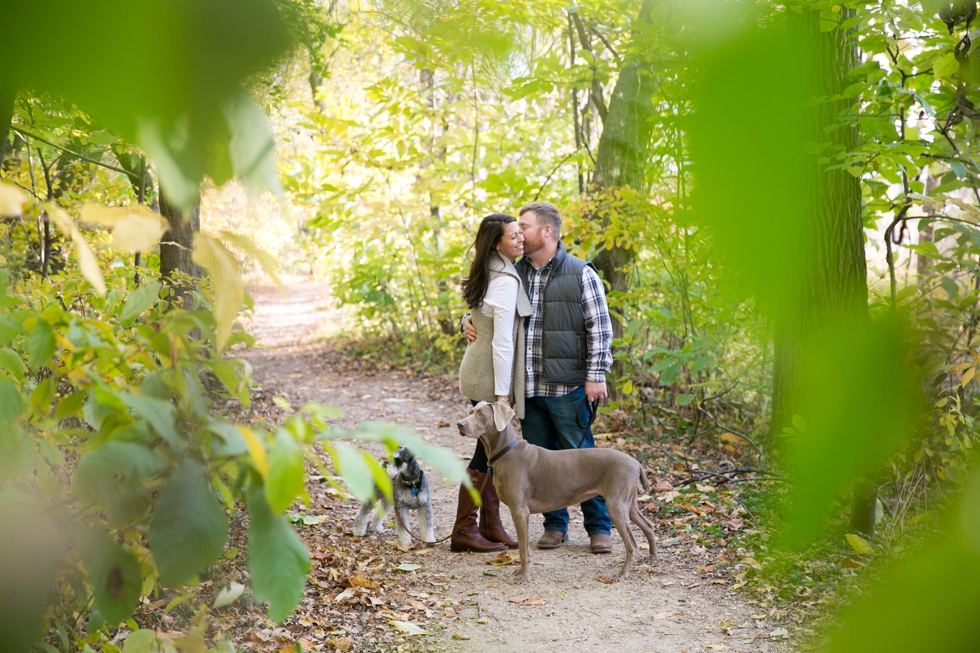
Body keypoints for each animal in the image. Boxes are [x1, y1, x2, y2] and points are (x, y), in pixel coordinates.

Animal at [454, 400, 656, 584]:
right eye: (471, 411)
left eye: (481, 414)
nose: (460, 424)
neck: (507, 452)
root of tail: (636, 463)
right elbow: (525, 548)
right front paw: (522, 571)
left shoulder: (519, 511)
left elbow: (522, 548)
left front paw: (524, 577)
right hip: (629, 504)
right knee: (648, 526)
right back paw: (652, 558)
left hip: (615, 505)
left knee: (632, 544)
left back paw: (622, 574)